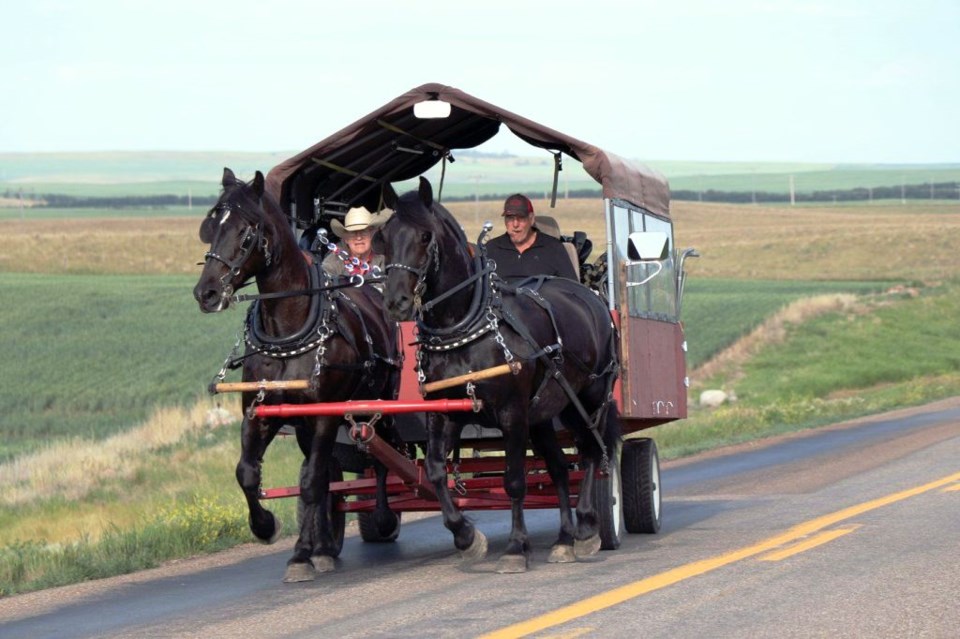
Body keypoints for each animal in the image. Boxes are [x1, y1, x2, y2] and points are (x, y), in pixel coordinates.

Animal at [193, 170, 404, 584]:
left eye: (246, 232)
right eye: (211, 227)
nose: (205, 293)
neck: (287, 332)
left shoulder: (324, 416)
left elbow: (310, 482)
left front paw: (303, 555)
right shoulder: (259, 414)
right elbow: (249, 474)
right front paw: (270, 530)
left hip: (381, 404)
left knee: (382, 460)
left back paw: (383, 517)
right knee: (326, 474)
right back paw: (323, 545)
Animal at [378, 176, 620, 576]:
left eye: (425, 236)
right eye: (383, 235)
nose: (395, 303)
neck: (465, 326)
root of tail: (590, 297)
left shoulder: (511, 413)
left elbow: (514, 480)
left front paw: (515, 547)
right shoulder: (444, 412)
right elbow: (435, 471)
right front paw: (466, 537)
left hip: (586, 399)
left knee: (593, 450)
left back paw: (587, 526)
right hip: (544, 412)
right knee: (558, 468)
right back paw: (564, 539)